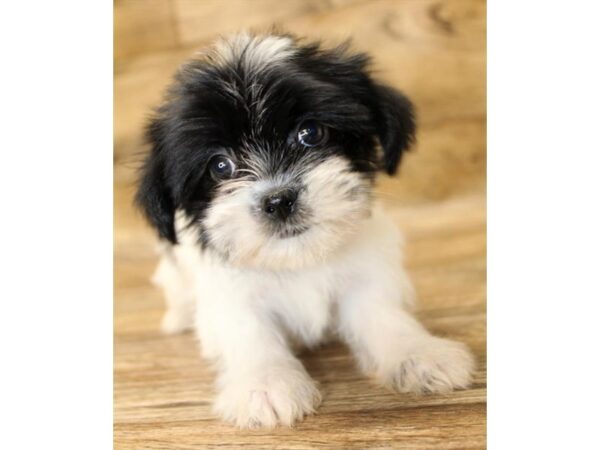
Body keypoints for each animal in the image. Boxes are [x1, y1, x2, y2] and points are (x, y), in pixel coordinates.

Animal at [135, 32, 474, 428]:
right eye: (220, 166)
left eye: (310, 133)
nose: (279, 200)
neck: (297, 258)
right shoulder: (229, 294)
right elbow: (250, 332)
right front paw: (265, 386)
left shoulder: (366, 272)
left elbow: (382, 313)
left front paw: (419, 353)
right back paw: (176, 319)